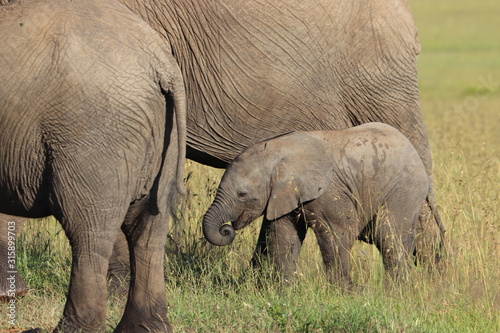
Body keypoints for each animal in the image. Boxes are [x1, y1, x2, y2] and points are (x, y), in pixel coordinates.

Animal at [0, 0, 188, 330]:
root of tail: (160, 62)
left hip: (93, 136)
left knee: (88, 233)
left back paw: (73, 329)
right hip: (165, 132)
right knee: (149, 229)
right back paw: (141, 328)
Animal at [203, 122, 430, 286]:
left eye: (242, 194)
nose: (226, 229)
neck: (277, 153)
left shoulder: (330, 192)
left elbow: (337, 235)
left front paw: (344, 293)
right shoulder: (283, 194)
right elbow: (283, 236)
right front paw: (284, 291)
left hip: (404, 188)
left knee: (389, 234)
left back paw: (395, 292)